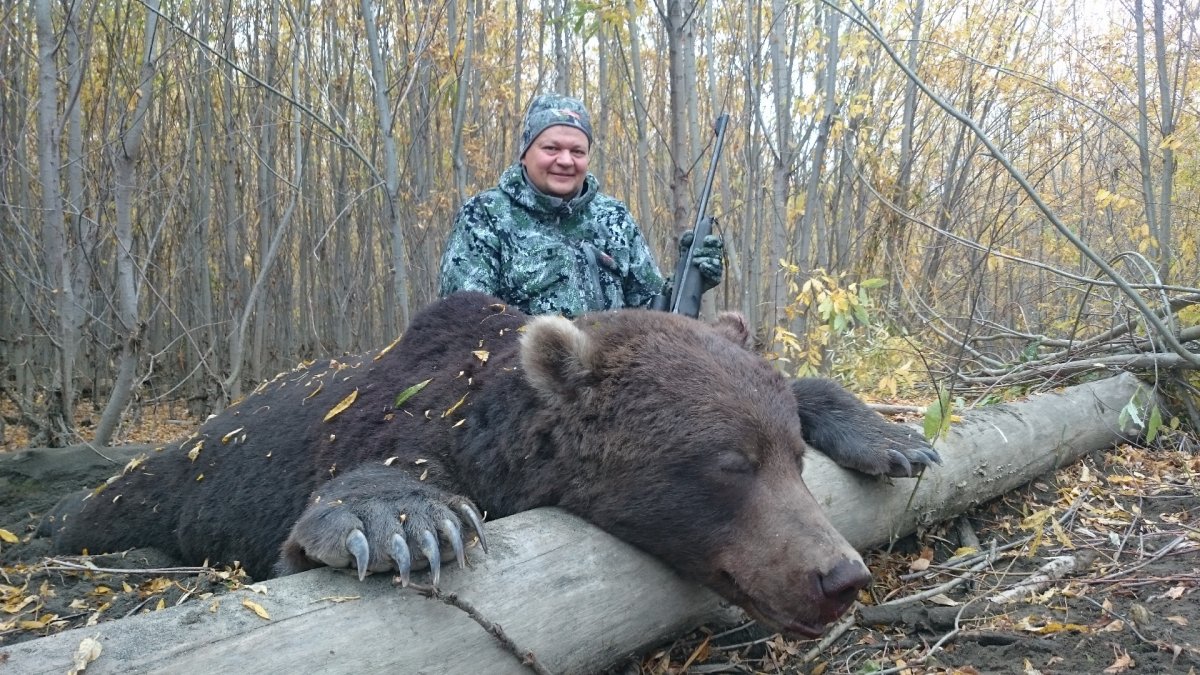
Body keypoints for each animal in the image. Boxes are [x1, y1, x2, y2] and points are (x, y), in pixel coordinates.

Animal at [45, 292, 939, 638]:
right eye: (728, 464)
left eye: (790, 457)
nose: (839, 574)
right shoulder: (401, 417)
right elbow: (345, 503)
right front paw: (407, 521)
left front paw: (892, 433)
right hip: (168, 475)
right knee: (106, 504)